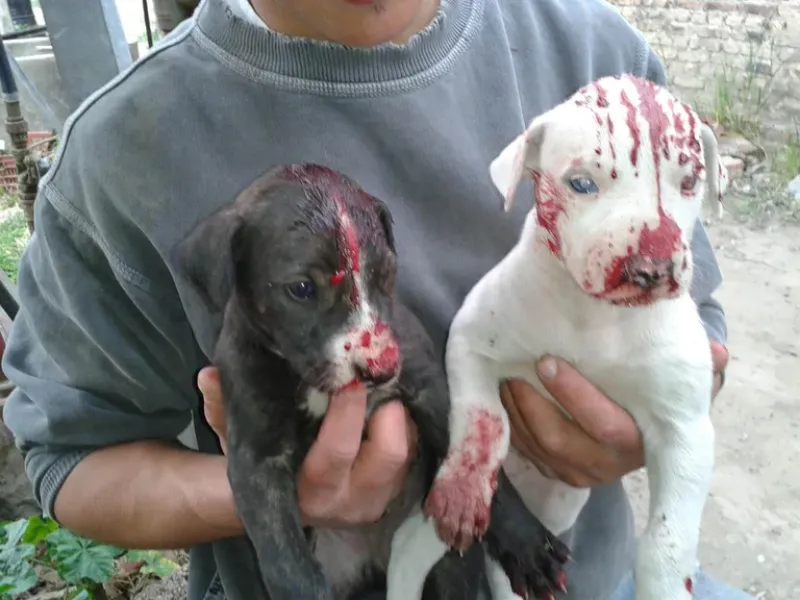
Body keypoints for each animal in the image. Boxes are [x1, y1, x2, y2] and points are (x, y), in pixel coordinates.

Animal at [177, 164, 568, 600]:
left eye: (386, 275)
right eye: (301, 288)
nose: (381, 369)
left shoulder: (431, 389)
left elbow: (477, 464)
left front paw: (530, 545)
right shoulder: (256, 457)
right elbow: (285, 560)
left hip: (449, 564)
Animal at [424, 75, 732, 600]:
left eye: (690, 182)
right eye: (581, 183)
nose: (651, 268)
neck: (595, 316)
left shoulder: (684, 429)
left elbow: (667, 540)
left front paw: (666, 584)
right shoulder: (471, 340)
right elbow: (483, 422)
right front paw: (462, 494)